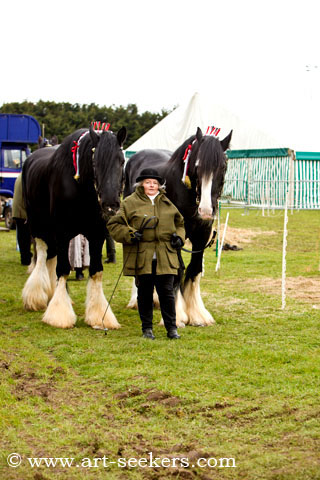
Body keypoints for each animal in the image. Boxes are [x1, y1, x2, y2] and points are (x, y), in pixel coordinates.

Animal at [22, 124, 126, 328]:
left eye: (122, 161)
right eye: (95, 163)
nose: (111, 204)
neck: (82, 189)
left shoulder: (96, 235)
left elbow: (96, 270)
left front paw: (99, 315)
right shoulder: (62, 233)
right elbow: (62, 269)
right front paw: (59, 315)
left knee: (50, 258)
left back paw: (51, 294)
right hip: (38, 227)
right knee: (42, 256)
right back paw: (36, 297)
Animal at [124, 126, 231, 326]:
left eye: (222, 166)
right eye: (197, 166)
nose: (206, 210)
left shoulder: (202, 235)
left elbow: (194, 269)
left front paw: (197, 314)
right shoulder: (175, 235)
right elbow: (178, 270)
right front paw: (179, 314)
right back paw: (136, 300)